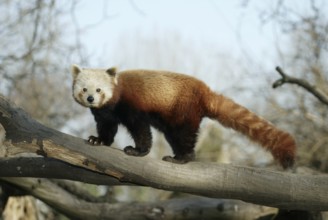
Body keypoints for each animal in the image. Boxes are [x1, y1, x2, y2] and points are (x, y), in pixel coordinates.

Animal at [70, 64, 296, 168]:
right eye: (84, 89)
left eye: (99, 90)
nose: (90, 98)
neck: (112, 103)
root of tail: (205, 91)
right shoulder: (105, 114)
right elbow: (107, 128)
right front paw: (98, 140)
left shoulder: (132, 106)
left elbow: (141, 130)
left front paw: (137, 150)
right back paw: (178, 155)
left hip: (182, 111)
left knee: (184, 136)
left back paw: (182, 158)